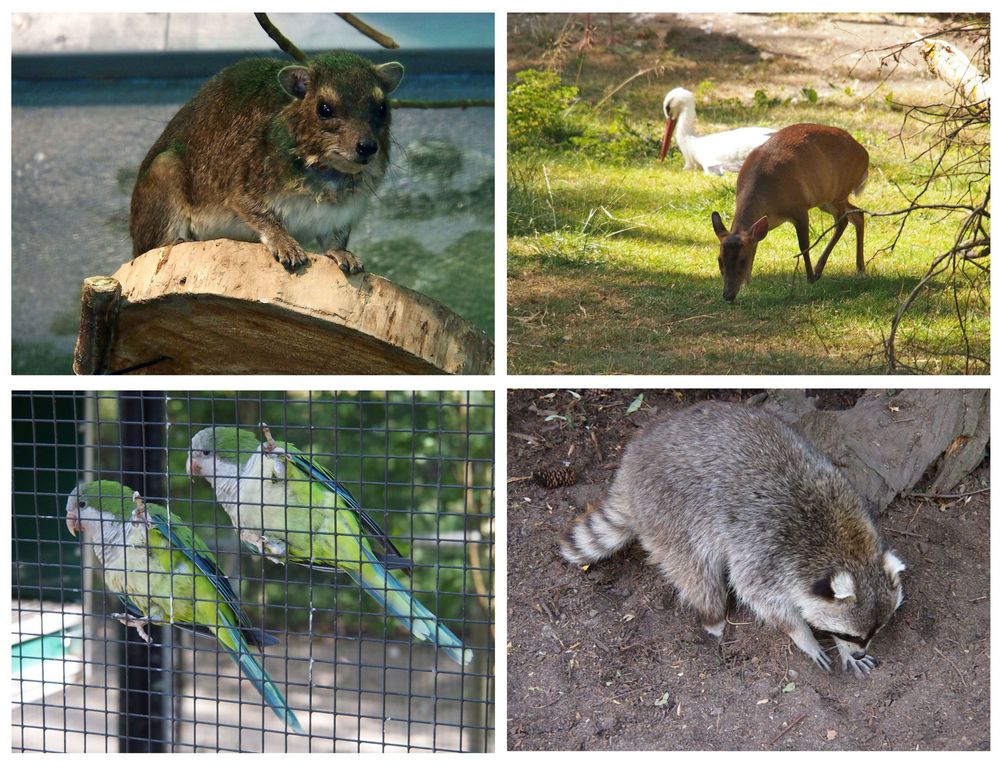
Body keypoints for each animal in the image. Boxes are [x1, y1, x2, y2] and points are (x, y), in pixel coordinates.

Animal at [564, 400, 908, 676]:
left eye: (872, 633)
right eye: (852, 635)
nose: (858, 651)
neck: (845, 545)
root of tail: (631, 464)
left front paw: (842, 651)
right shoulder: (766, 552)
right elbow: (761, 597)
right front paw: (803, 636)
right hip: (670, 508)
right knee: (697, 570)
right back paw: (712, 617)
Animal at [712, 122, 868, 300]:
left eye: (742, 261)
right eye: (719, 260)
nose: (728, 295)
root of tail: (864, 154)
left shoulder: (799, 208)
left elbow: (804, 245)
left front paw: (810, 278)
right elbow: (756, 244)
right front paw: (746, 284)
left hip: (838, 192)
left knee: (843, 221)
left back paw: (819, 269)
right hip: (827, 199)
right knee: (858, 214)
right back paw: (860, 268)